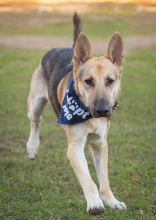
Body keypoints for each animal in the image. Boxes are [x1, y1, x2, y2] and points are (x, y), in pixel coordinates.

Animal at [26, 12, 127, 216]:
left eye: (110, 81)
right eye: (88, 81)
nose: (102, 110)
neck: (87, 114)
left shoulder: (100, 144)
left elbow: (104, 179)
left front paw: (111, 200)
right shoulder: (75, 147)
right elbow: (88, 181)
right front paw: (95, 204)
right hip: (35, 104)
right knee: (36, 121)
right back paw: (32, 147)